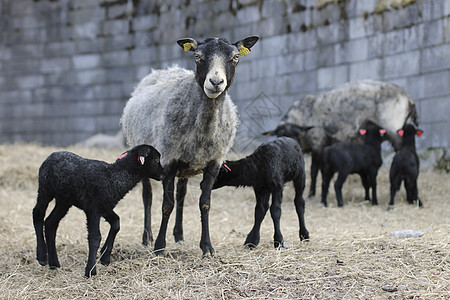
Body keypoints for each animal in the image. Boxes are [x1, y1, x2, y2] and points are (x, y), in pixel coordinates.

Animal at [32, 144, 165, 278]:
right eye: (156, 159)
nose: (163, 174)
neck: (114, 176)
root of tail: (52, 154)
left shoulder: (105, 207)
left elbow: (116, 223)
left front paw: (105, 257)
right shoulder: (93, 209)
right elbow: (95, 237)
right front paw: (90, 270)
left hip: (64, 201)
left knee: (50, 223)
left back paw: (54, 264)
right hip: (45, 189)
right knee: (37, 213)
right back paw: (42, 256)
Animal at [121, 35, 258, 255]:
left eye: (236, 57)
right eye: (197, 56)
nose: (216, 82)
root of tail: (163, 70)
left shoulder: (213, 163)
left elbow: (204, 204)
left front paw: (207, 247)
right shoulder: (167, 161)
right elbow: (166, 205)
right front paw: (159, 247)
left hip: (186, 165)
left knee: (182, 195)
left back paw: (179, 235)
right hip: (144, 154)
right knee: (147, 196)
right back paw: (147, 237)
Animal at [264, 79, 418, 199]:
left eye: (295, 135)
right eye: (279, 135)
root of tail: (407, 98)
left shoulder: (318, 141)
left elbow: (314, 171)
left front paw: (311, 194)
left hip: (394, 128)